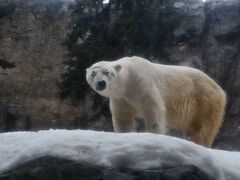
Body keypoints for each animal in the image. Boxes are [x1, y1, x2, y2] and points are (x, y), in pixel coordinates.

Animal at [85, 56, 226, 148]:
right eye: (93, 73)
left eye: (107, 72)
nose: (101, 83)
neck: (127, 81)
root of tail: (220, 89)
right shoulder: (121, 99)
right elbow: (123, 118)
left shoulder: (142, 84)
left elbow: (153, 110)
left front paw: (154, 137)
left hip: (205, 100)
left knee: (203, 127)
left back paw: (200, 143)